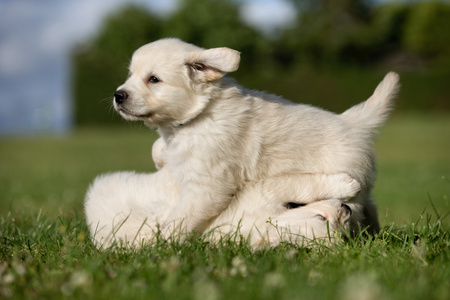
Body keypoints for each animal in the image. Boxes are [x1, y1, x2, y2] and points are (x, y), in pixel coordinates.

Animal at [83, 38, 398, 246]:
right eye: (131, 75)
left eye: (153, 80)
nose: (118, 95)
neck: (200, 115)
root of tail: (354, 123)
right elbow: (158, 150)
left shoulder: (210, 186)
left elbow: (181, 218)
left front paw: (163, 244)